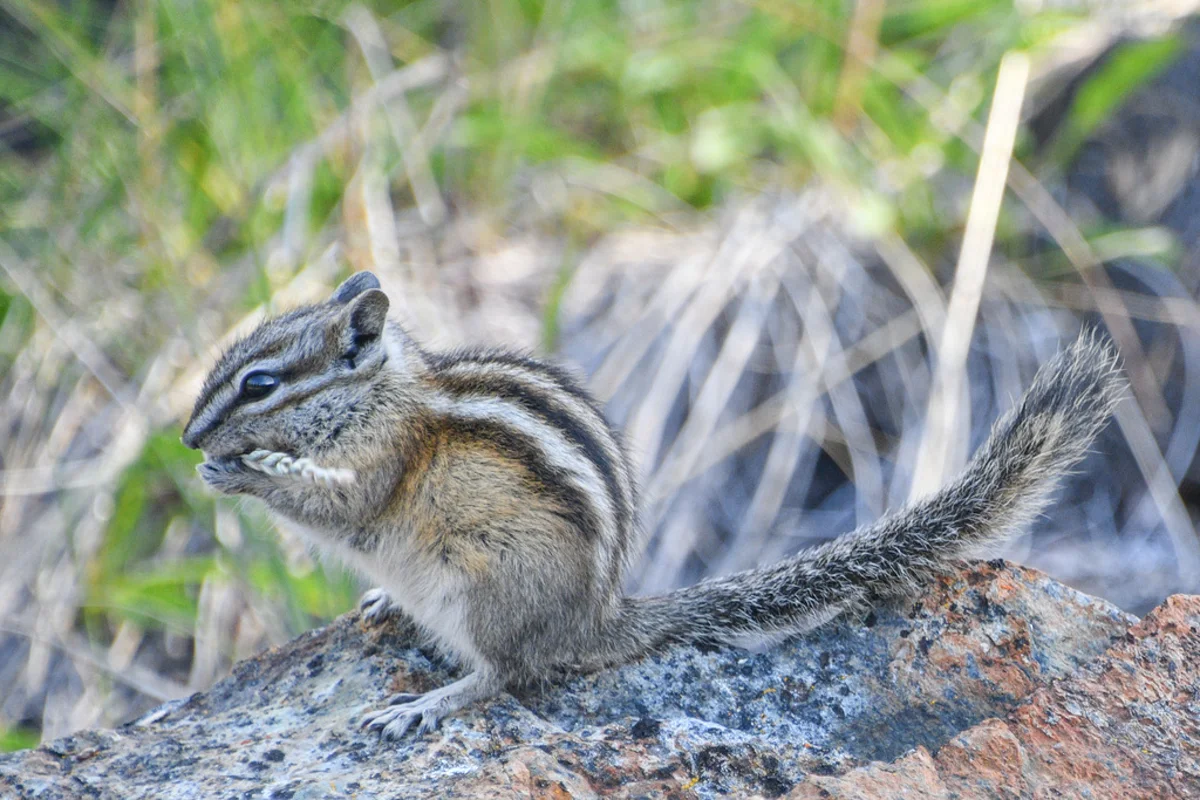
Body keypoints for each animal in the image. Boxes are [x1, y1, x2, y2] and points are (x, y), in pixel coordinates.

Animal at [182, 270, 1125, 739]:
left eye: (260, 383)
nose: (189, 437)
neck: (381, 394)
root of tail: (597, 618)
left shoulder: (383, 462)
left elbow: (340, 508)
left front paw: (244, 473)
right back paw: (388, 604)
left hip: (485, 590)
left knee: (504, 676)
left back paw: (424, 705)